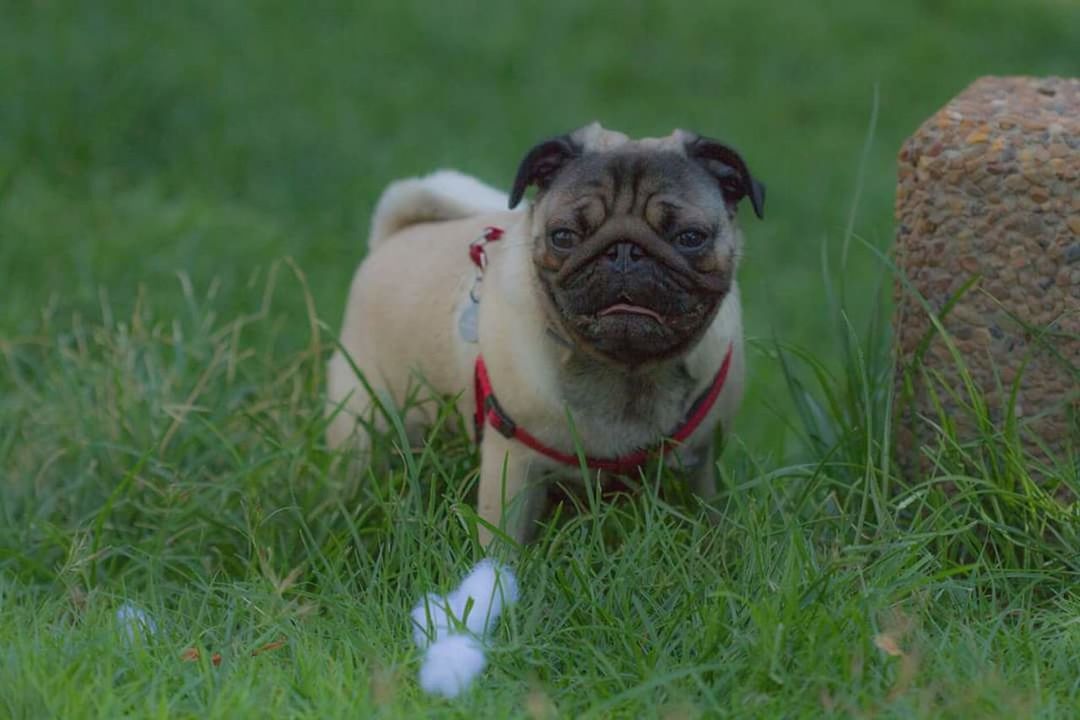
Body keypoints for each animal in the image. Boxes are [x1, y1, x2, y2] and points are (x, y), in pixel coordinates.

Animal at [324, 120, 764, 544]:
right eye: (563, 236)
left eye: (690, 238)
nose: (625, 251)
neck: (626, 372)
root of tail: (393, 235)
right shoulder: (513, 468)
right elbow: (501, 541)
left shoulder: (700, 463)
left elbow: (710, 517)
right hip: (362, 426)